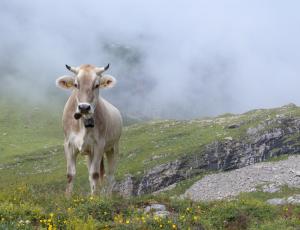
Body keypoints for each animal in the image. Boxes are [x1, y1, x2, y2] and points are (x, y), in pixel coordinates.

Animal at [55, 63, 122, 196]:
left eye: (96, 85)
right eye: (76, 84)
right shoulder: (68, 144)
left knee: (110, 175)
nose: (84, 107)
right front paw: (68, 197)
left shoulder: (99, 145)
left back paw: (108, 196)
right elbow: (70, 175)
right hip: (89, 154)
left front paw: (95, 198)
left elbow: (95, 174)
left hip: (113, 147)